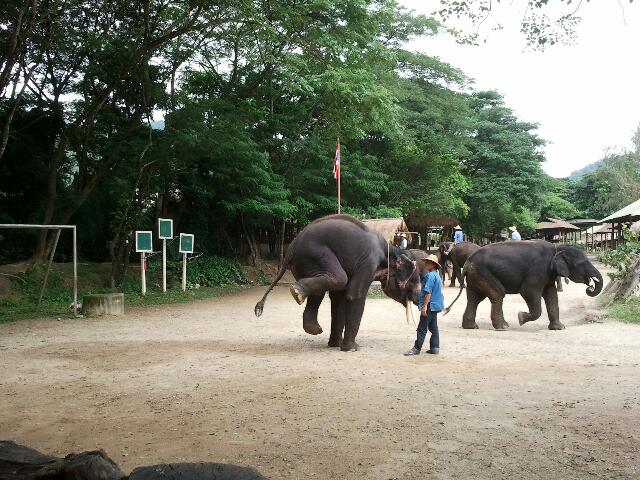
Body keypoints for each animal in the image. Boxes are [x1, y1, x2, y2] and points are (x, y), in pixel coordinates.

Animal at [255, 216, 424, 350]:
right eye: (414, 281)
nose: (418, 300)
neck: (390, 250)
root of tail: (291, 248)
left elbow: (339, 298)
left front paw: (336, 345)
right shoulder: (368, 262)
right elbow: (354, 294)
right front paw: (352, 348)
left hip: (306, 263)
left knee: (322, 289)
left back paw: (311, 324)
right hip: (315, 253)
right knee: (339, 278)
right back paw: (296, 292)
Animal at [442, 240, 604, 330]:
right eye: (583, 263)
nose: (590, 287)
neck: (557, 248)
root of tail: (468, 263)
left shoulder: (548, 275)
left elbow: (552, 296)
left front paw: (559, 328)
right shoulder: (538, 270)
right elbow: (528, 292)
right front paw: (521, 318)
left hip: (476, 276)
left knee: (474, 299)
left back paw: (472, 327)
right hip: (483, 273)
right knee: (498, 294)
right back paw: (503, 327)